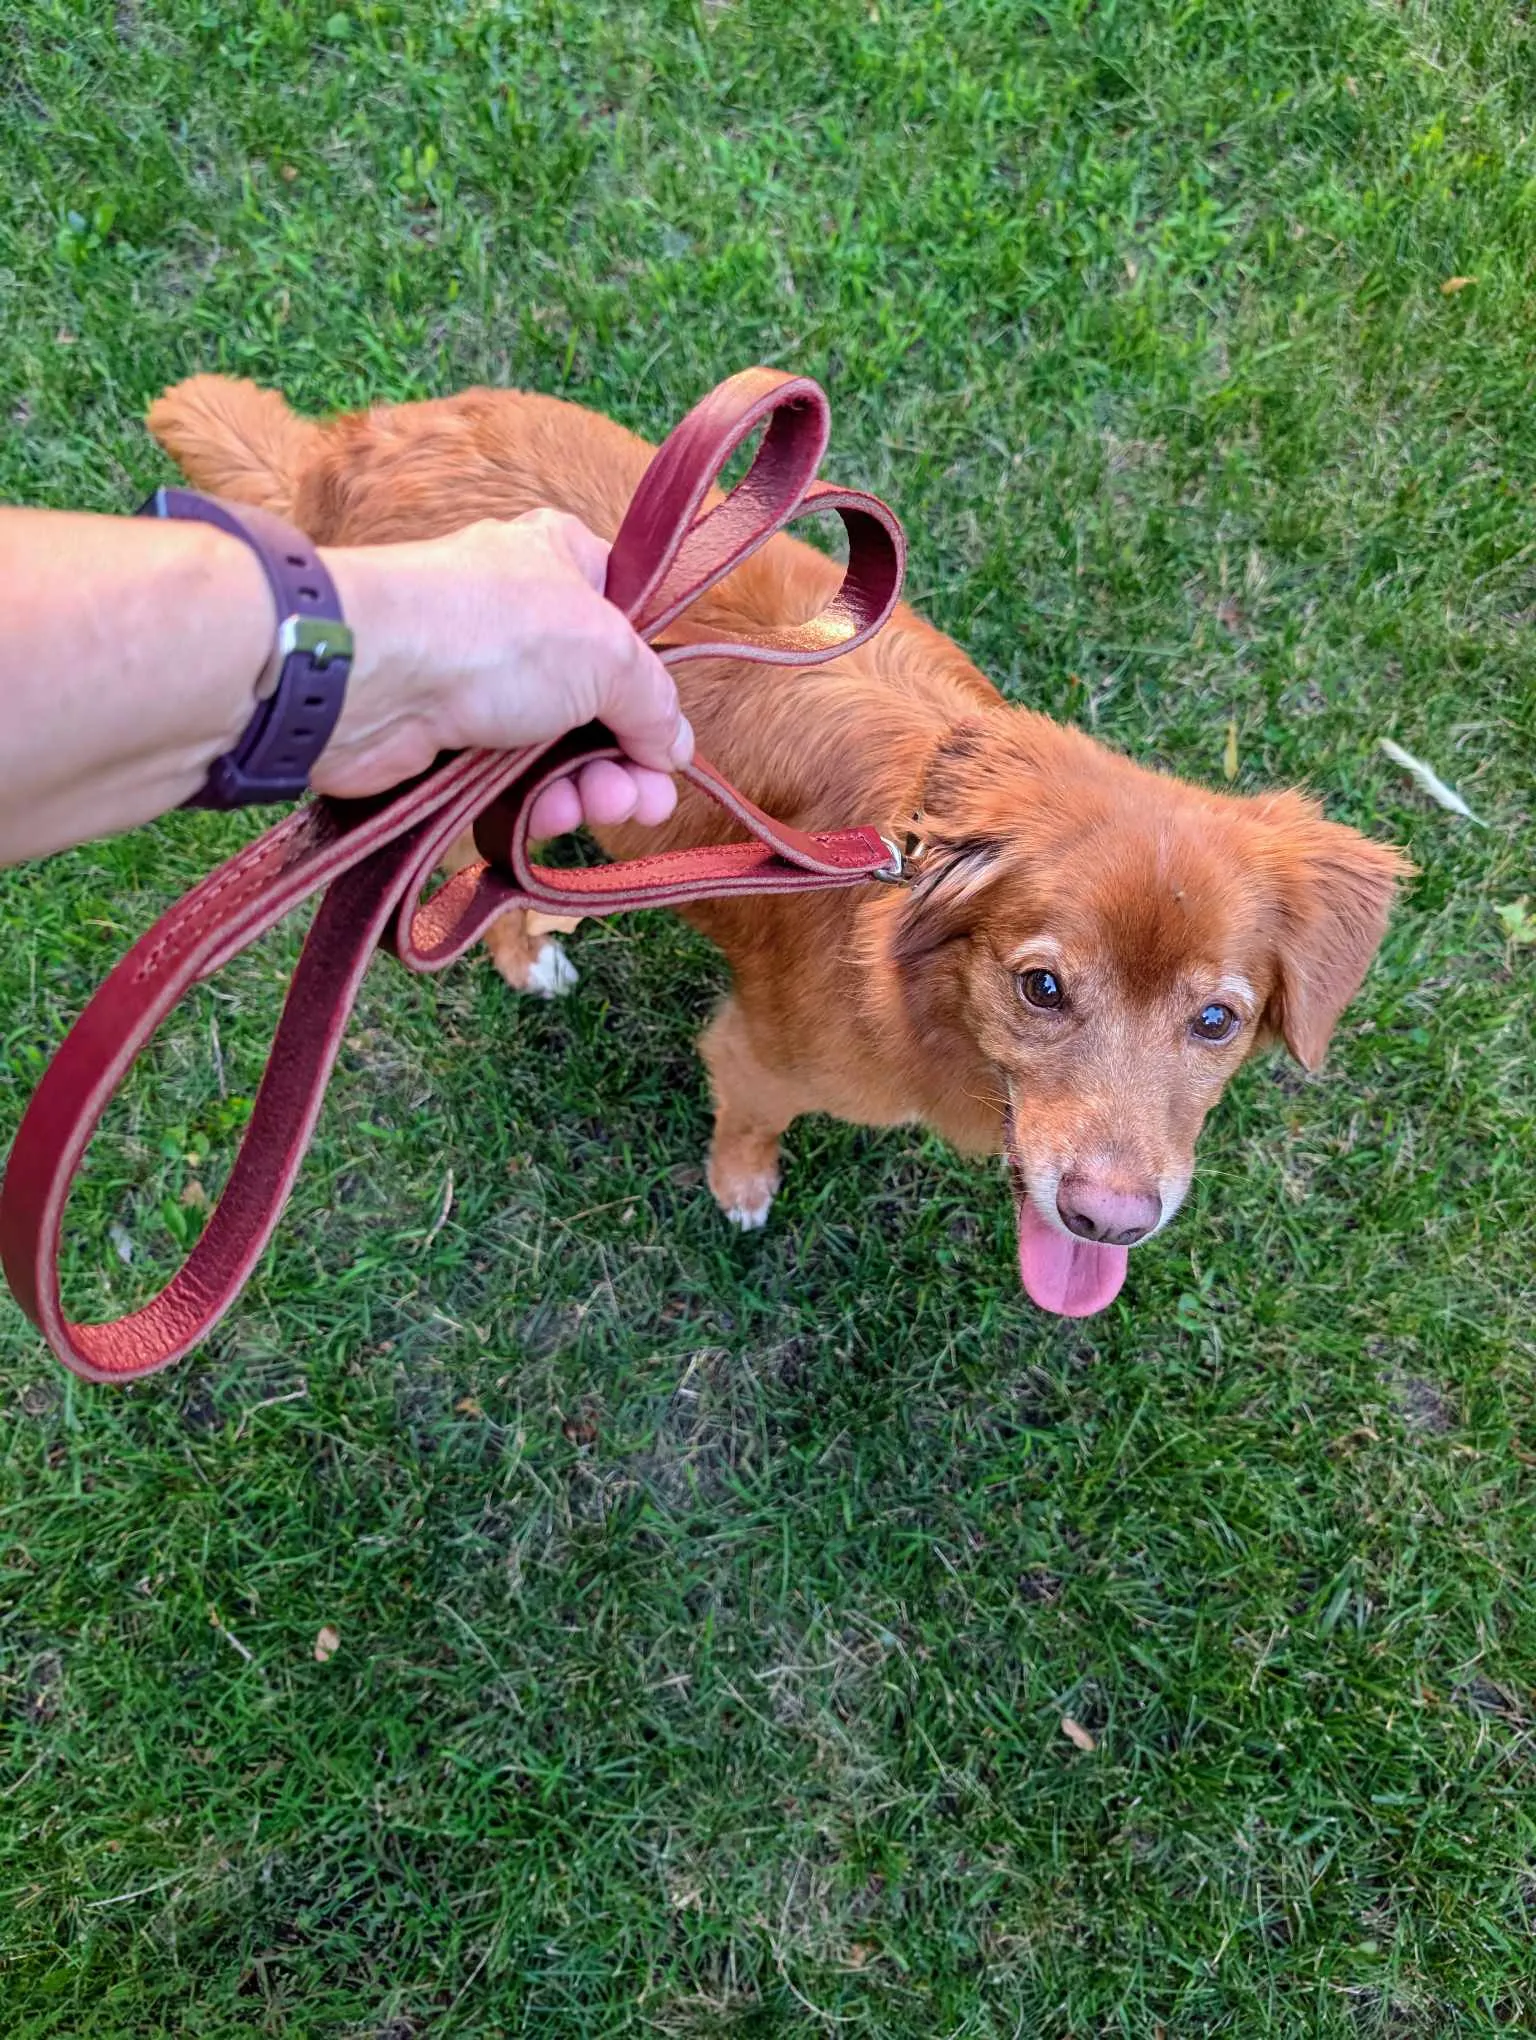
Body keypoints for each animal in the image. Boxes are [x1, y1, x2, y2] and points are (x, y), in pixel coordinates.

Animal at [149, 375, 1411, 1313]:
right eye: (1042, 987)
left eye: (1218, 1021)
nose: (1109, 1221)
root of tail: (347, 455)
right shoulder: (758, 1055)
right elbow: (749, 1123)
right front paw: (741, 1187)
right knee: (463, 880)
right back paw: (531, 943)